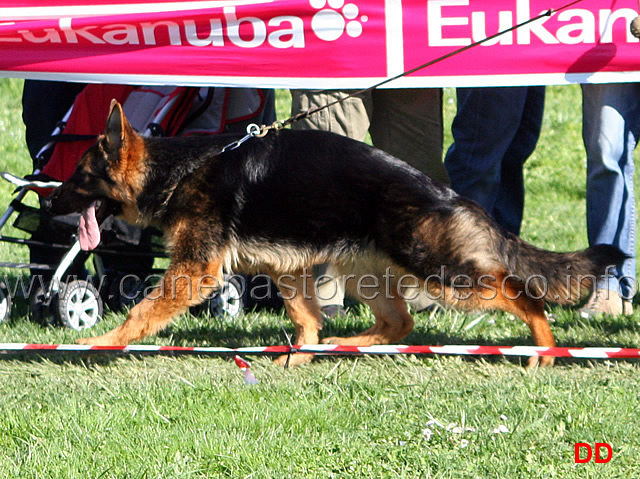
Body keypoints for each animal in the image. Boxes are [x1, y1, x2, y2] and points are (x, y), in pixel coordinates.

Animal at [48, 102, 624, 368]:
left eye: (79, 176)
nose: (50, 203)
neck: (176, 169)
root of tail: (450, 195)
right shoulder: (288, 268)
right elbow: (306, 317)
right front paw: (302, 354)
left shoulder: (195, 270)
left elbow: (141, 312)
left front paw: (100, 343)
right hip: (363, 269)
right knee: (399, 323)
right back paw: (342, 344)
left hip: (442, 273)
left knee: (526, 296)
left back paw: (546, 349)